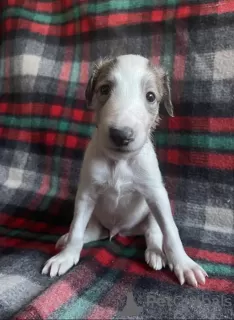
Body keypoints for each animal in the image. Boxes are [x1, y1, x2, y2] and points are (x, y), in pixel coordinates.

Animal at [42, 53, 207, 286]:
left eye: (150, 96)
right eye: (104, 89)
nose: (121, 135)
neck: (120, 162)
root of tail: (122, 231)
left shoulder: (156, 194)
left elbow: (171, 232)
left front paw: (184, 264)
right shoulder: (86, 194)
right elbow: (76, 229)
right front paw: (66, 257)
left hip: (150, 213)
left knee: (154, 233)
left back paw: (156, 253)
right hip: (95, 217)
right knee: (91, 231)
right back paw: (67, 240)